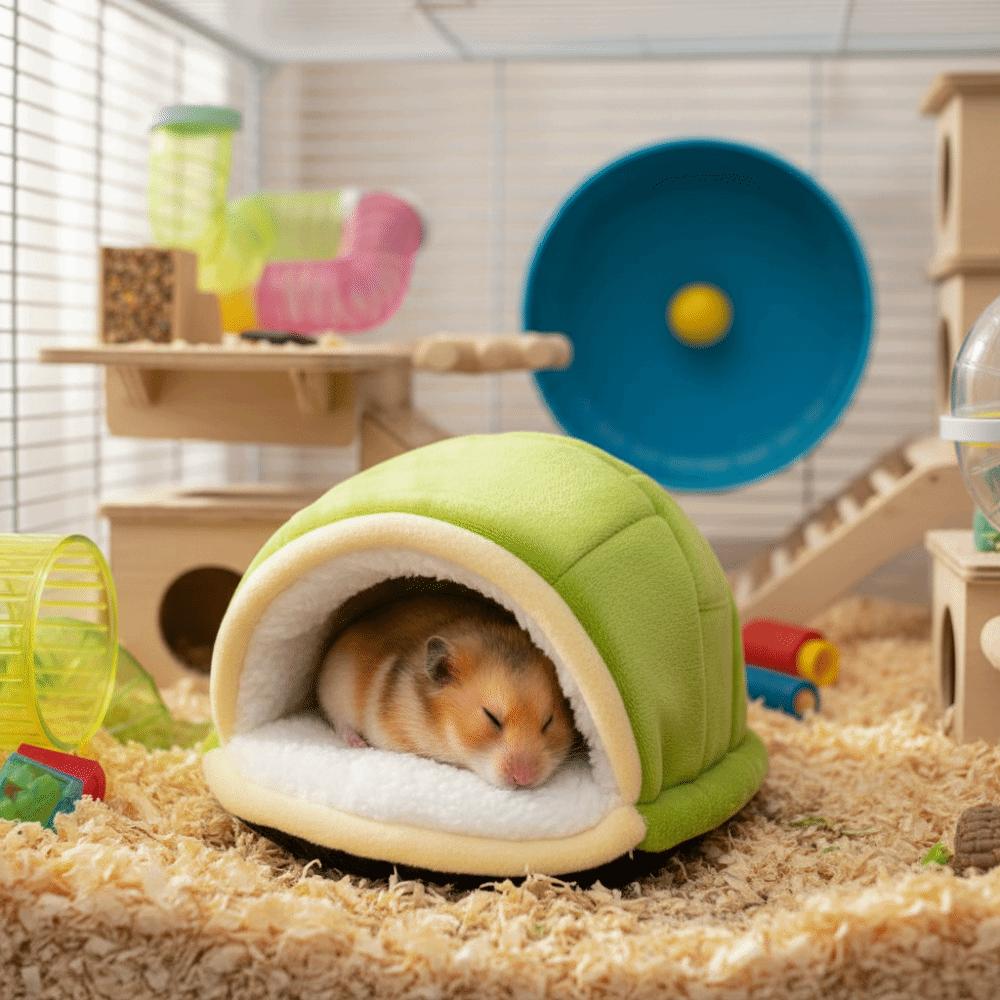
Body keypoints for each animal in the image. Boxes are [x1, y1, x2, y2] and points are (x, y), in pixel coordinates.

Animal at [316, 591, 578, 789]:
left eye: (548, 722)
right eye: (491, 718)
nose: (524, 779)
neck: (443, 728)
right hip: (336, 687)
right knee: (339, 722)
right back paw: (357, 743)